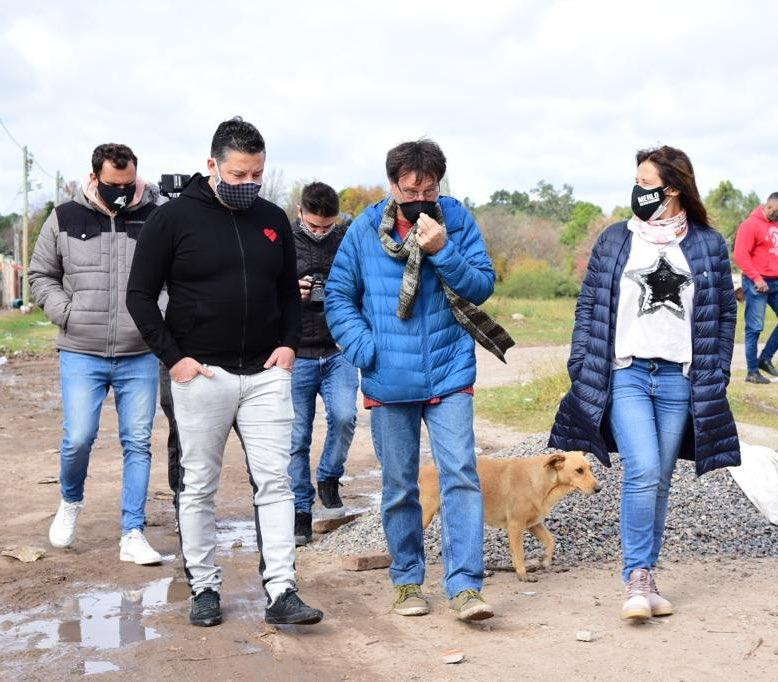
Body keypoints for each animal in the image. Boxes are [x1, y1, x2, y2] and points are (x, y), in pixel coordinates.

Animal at [422, 452, 596, 580]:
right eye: (579, 470)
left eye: (591, 468)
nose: (598, 488)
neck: (539, 480)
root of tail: (423, 468)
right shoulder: (515, 525)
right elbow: (520, 553)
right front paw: (523, 574)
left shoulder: (533, 524)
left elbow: (550, 540)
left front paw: (545, 560)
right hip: (425, 516)